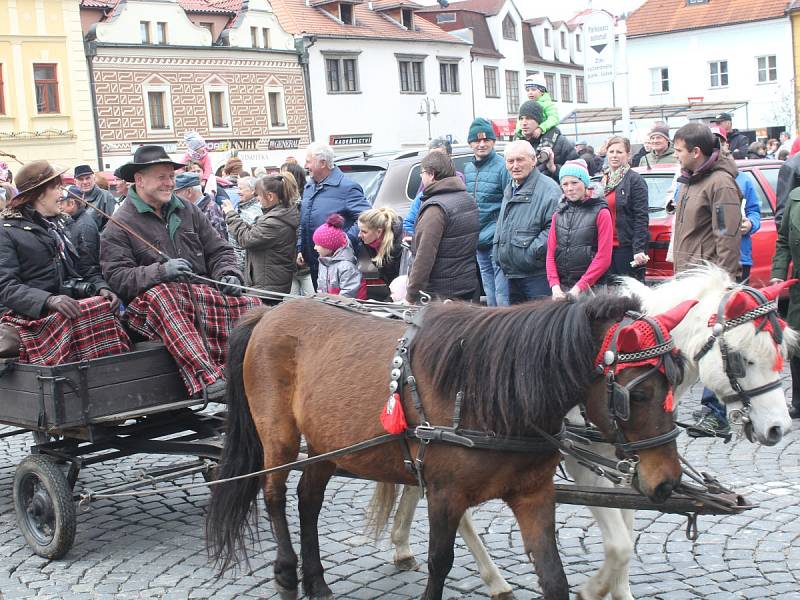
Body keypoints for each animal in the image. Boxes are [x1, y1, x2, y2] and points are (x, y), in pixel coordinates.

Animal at [206, 292, 692, 596]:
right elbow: (440, 562)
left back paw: (318, 582)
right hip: (279, 436)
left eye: (677, 383)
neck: (489, 394)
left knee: (308, 500)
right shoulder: (444, 494)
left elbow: (553, 575)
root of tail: (268, 314)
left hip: (330, 443)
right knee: (274, 493)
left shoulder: (534, 495)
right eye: (639, 394)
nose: (667, 482)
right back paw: (288, 574)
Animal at [382, 268, 800, 600]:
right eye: (742, 359)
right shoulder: (586, 466)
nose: (778, 428)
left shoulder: (632, 468)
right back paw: (492, 578)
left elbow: (628, 535)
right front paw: (592, 589)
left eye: (782, 349)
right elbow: (620, 545)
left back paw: (404, 544)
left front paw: (619, 591)